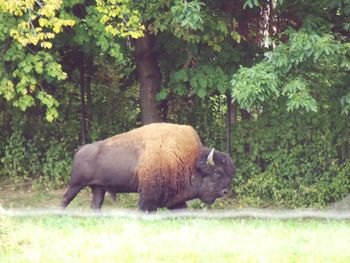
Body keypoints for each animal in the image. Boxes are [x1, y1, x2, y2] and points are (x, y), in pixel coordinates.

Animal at [61, 123, 237, 212]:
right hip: (76, 184)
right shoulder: (148, 195)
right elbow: (147, 208)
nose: (225, 192)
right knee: (65, 198)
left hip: (99, 188)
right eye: (217, 173)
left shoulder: (176, 199)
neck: (189, 159)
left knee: (96, 204)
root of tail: (80, 149)